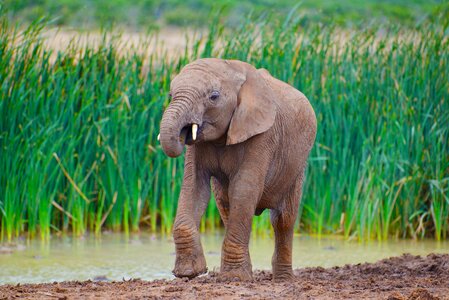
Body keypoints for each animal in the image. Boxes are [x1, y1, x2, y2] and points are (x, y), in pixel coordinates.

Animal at [158, 58, 316, 282]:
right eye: (171, 95)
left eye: (214, 96)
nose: (183, 133)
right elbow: (194, 187)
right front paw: (189, 273)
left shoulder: (263, 134)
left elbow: (244, 189)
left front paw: (233, 278)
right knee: (225, 205)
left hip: (297, 167)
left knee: (283, 220)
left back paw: (283, 280)